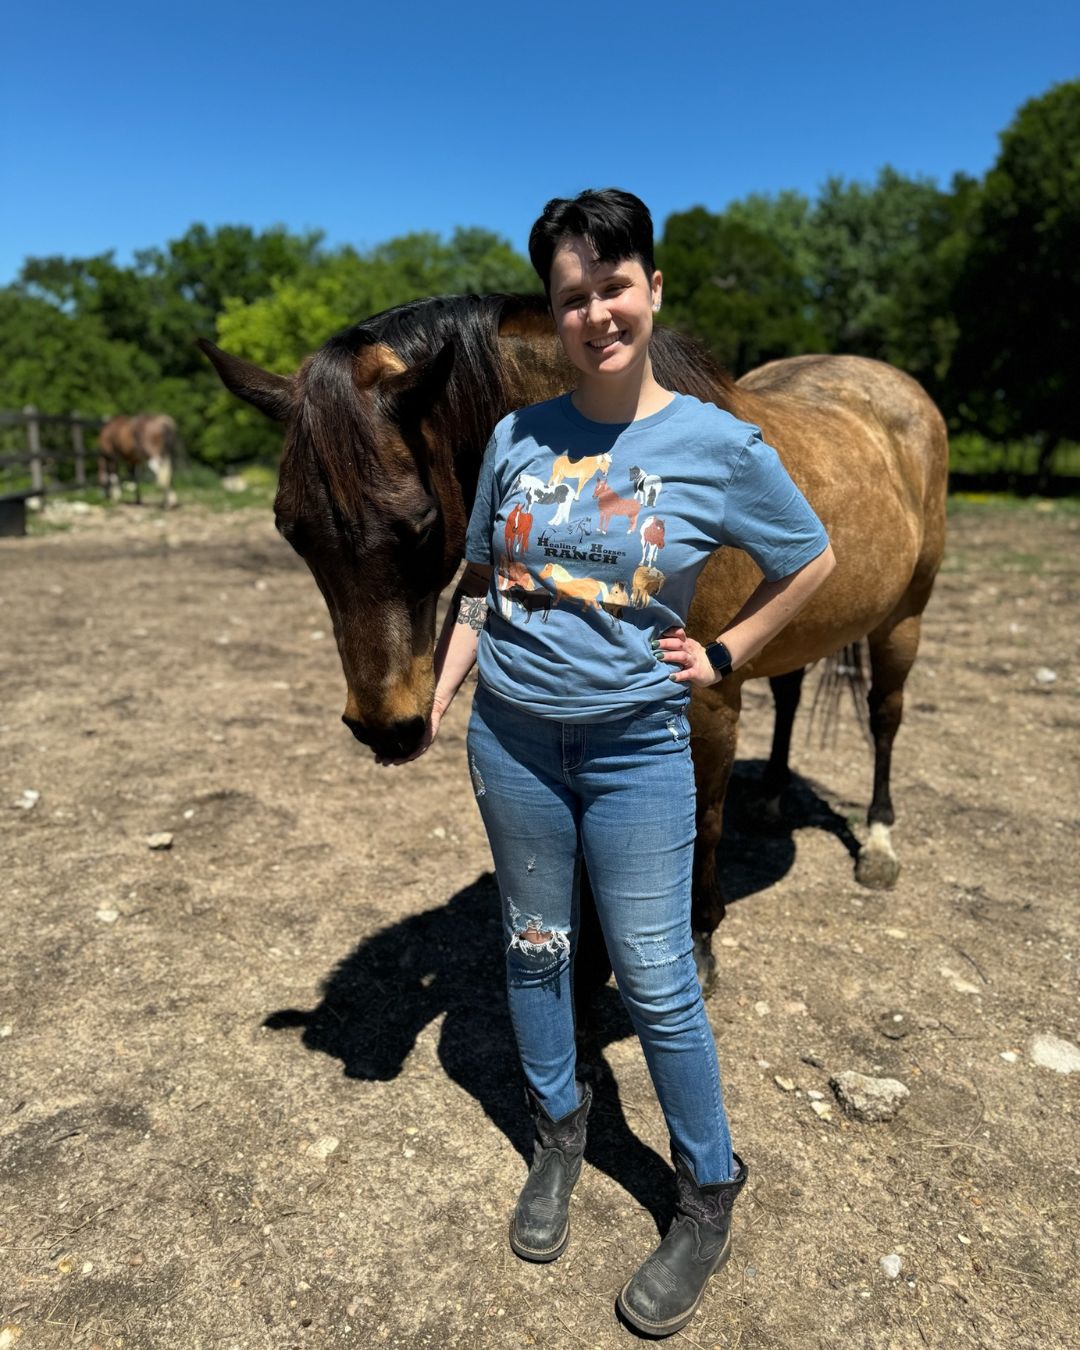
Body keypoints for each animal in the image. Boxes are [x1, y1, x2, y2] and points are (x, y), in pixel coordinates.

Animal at [198, 295, 950, 982]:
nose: (386, 727)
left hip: (904, 620)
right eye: (290, 529)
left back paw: (878, 845)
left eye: (419, 524)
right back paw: (770, 800)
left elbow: (704, 816)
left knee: (885, 718)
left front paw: (700, 938)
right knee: (792, 695)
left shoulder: (710, 699)